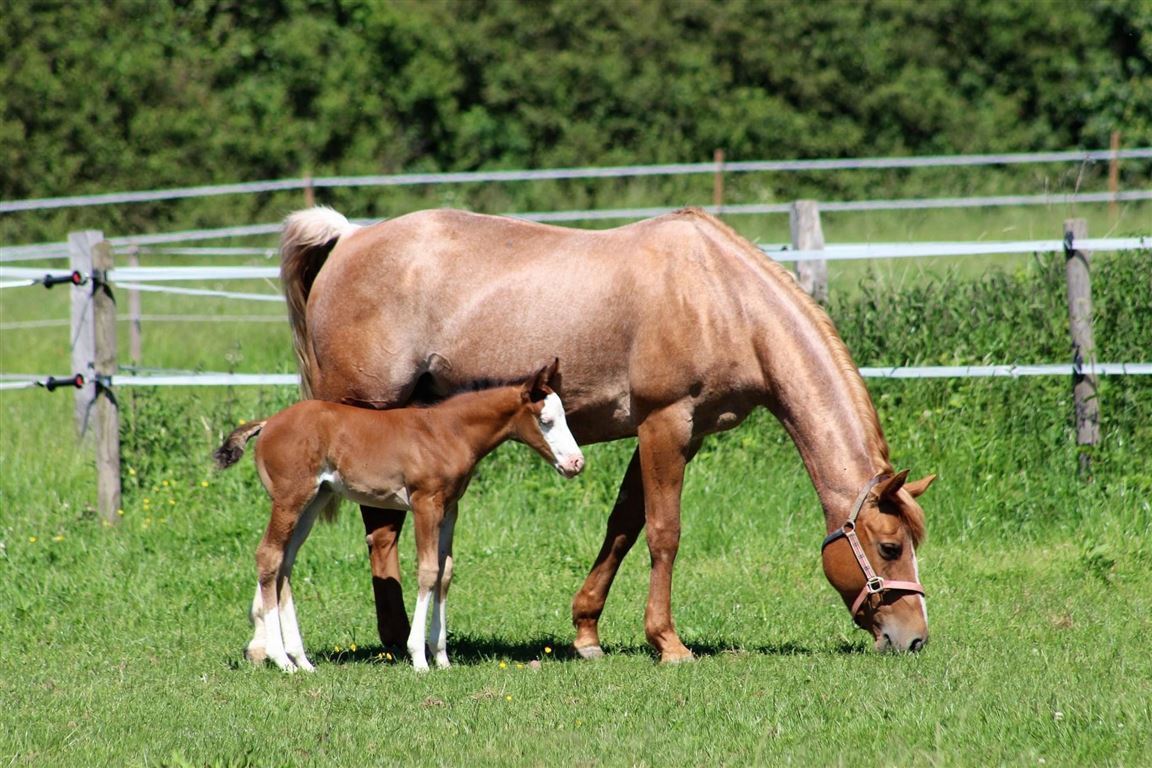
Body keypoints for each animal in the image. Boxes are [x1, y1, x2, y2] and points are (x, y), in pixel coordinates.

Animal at [214, 363, 585, 667]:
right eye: (546, 421)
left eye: (566, 417)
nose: (576, 463)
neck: (447, 433)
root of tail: (267, 423)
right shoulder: (425, 503)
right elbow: (427, 571)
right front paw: (419, 657)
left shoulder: (450, 508)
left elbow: (446, 572)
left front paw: (442, 657)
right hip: (289, 499)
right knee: (269, 556)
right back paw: (281, 659)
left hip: (314, 501)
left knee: (285, 564)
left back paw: (302, 660)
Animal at [278, 206, 935, 663]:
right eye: (889, 548)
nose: (914, 638)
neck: (721, 297)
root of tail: (348, 238)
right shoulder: (665, 422)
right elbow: (664, 532)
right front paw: (668, 642)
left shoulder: (678, 433)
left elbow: (623, 525)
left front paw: (587, 632)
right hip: (371, 411)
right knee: (380, 531)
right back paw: (396, 640)